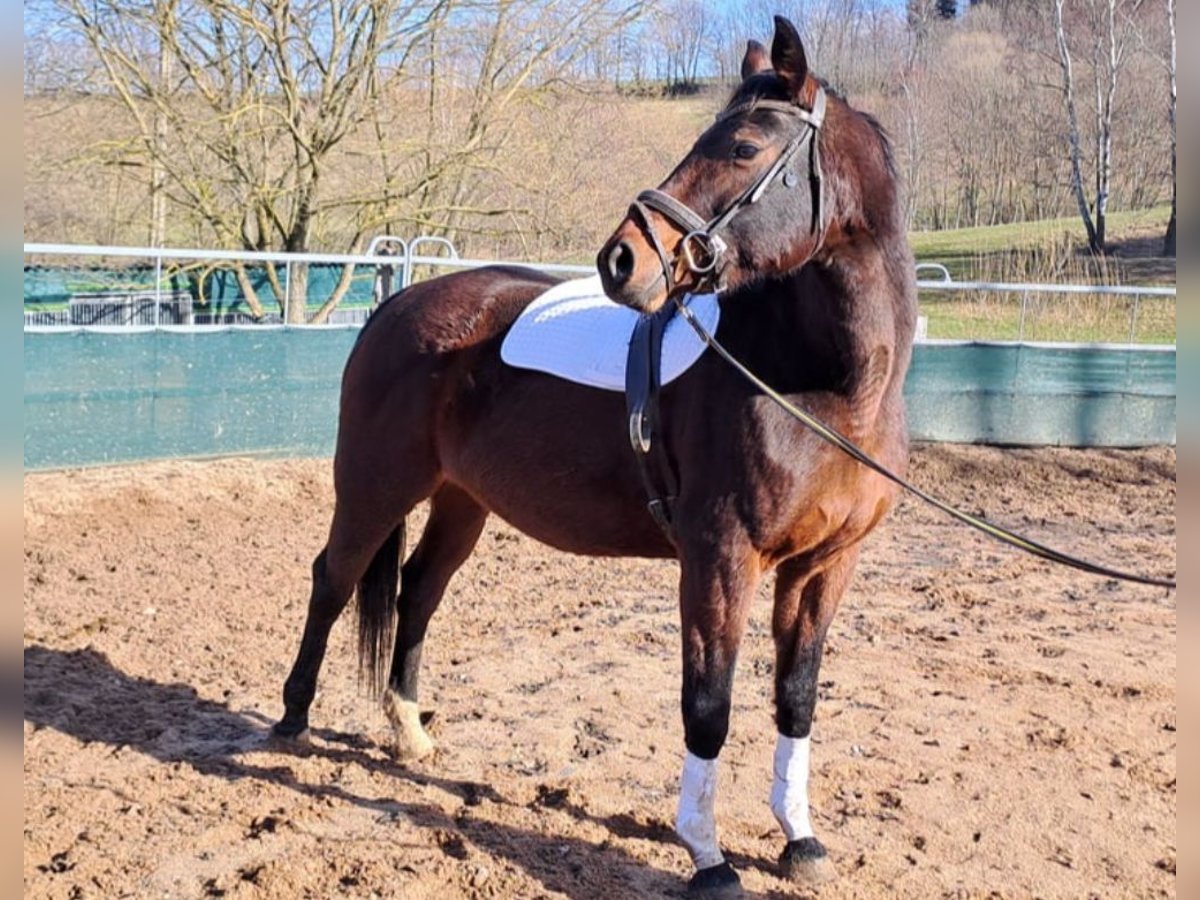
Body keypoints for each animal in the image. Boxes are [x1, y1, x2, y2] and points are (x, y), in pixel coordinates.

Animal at [274, 17, 907, 897]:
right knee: (333, 580)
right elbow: (708, 703)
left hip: (462, 501)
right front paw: (708, 857)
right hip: (374, 485)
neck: (819, 383)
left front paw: (799, 840)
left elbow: (797, 696)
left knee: (417, 590)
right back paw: (293, 719)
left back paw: (411, 732)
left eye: (744, 147)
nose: (622, 260)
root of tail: (397, 306)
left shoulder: (825, 565)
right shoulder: (719, 558)